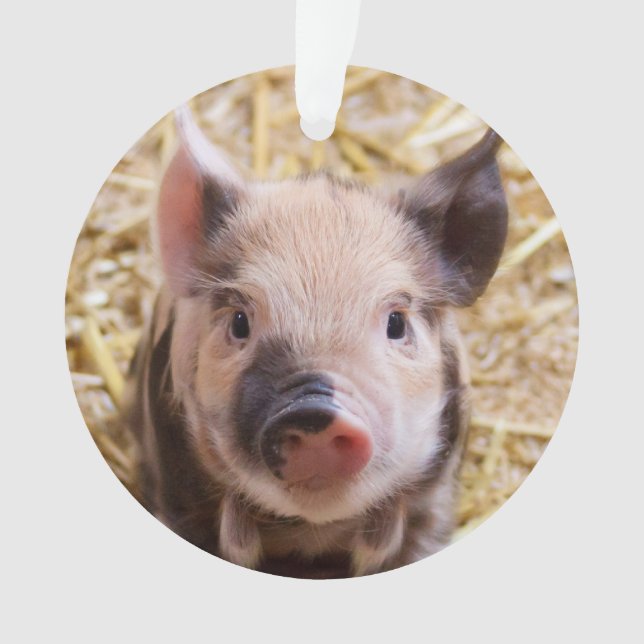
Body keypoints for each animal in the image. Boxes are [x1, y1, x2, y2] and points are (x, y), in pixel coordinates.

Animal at [123, 106, 508, 578]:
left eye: (396, 323)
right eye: (239, 322)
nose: (314, 409)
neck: (312, 534)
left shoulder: (435, 500)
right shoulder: (176, 492)